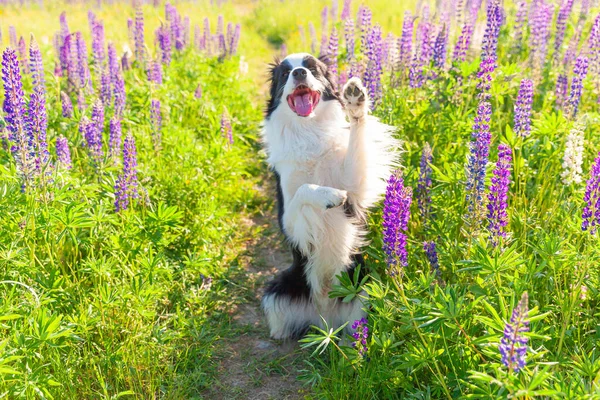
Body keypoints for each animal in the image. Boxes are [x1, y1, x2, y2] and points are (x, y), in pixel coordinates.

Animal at [262, 53, 398, 340]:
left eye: (313, 69)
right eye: (284, 74)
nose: (299, 73)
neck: (307, 130)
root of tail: (325, 319)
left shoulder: (355, 187)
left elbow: (357, 137)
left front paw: (356, 102)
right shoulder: (289, 221)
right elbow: (305, 189)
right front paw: (329, 196)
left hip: (365, 287)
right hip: (275, 290)